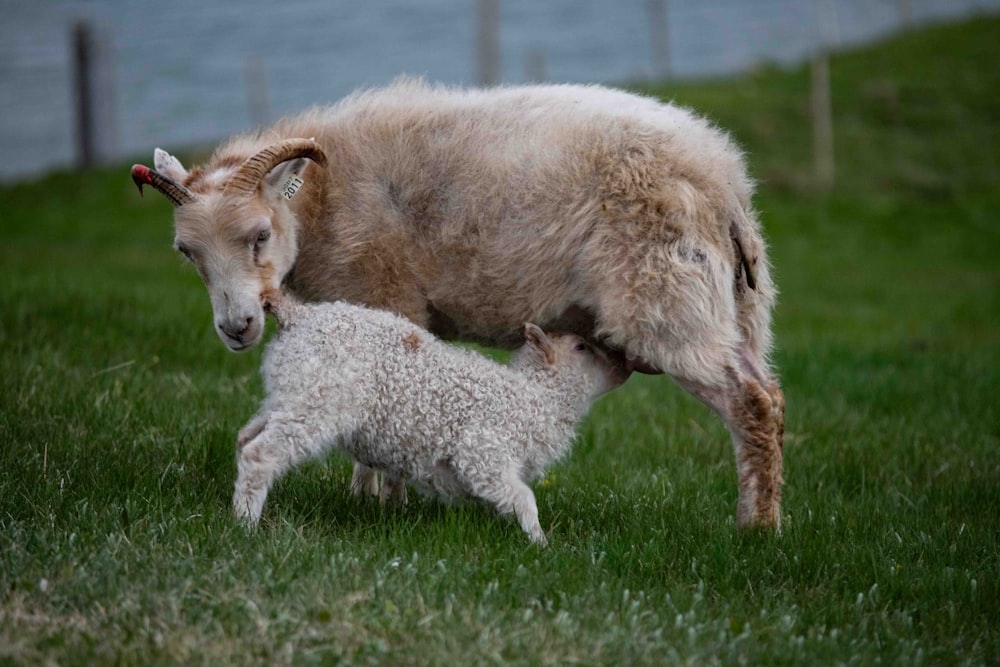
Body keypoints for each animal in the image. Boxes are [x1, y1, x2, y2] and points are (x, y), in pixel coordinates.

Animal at [233, 294, 624, 544]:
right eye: (581, 348)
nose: (621, 367)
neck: (534, 395)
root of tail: (299, 316)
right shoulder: (483, 451)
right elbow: (523, 497)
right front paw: (540, 542)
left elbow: (506, 497)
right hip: (317, 403)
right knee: (260, 454)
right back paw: (245, 526)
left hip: (289, 396)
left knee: (245, 438)